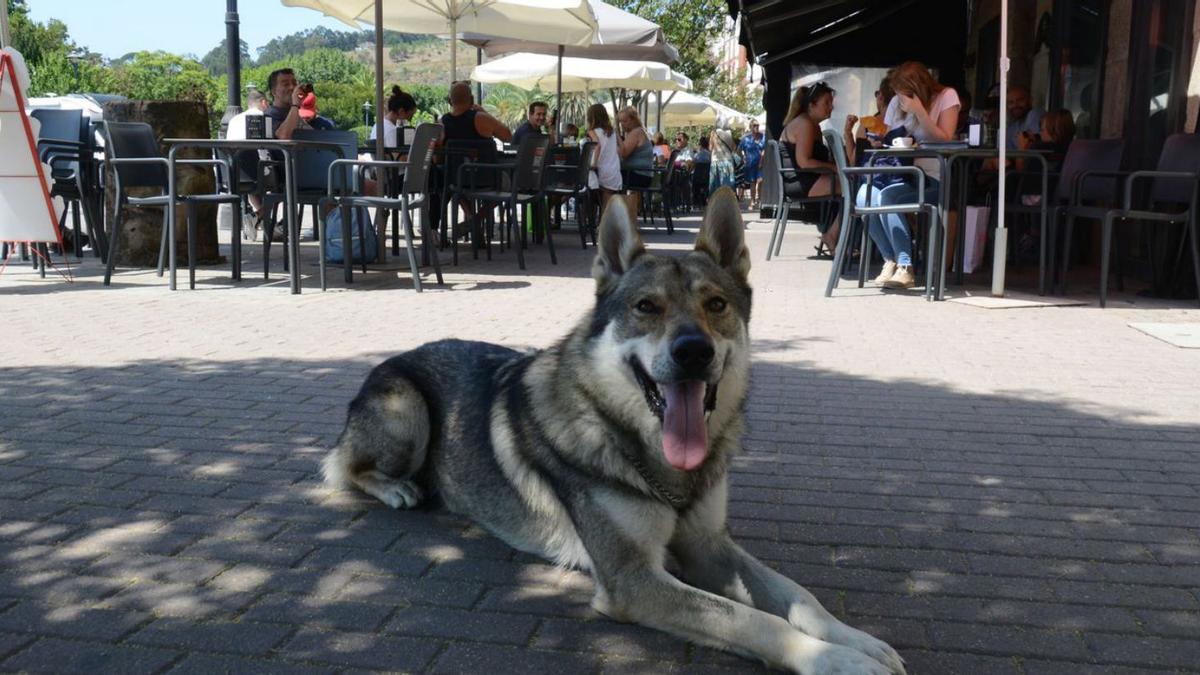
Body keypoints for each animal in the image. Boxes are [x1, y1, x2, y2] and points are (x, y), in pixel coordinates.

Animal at [324, 186, 902, 667]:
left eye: (716, 304)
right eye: (647, 307)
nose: (694, 351)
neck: (664, 471)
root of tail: (397, 356)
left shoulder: (708, 544)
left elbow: (799, 598)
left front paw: (857, 640)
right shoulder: (633, 579)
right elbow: (754, 620)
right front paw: (839, 661)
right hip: (408, 414)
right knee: (344, 467)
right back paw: (397, 489)